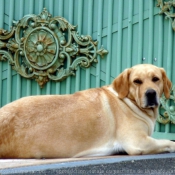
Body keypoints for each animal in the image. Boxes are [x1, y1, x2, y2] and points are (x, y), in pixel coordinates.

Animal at [0, 64, 175, 159]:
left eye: (156, 79)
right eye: (137, 81)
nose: (151, 93)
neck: (129, 101)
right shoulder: (137, 142)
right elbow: (168, 142)